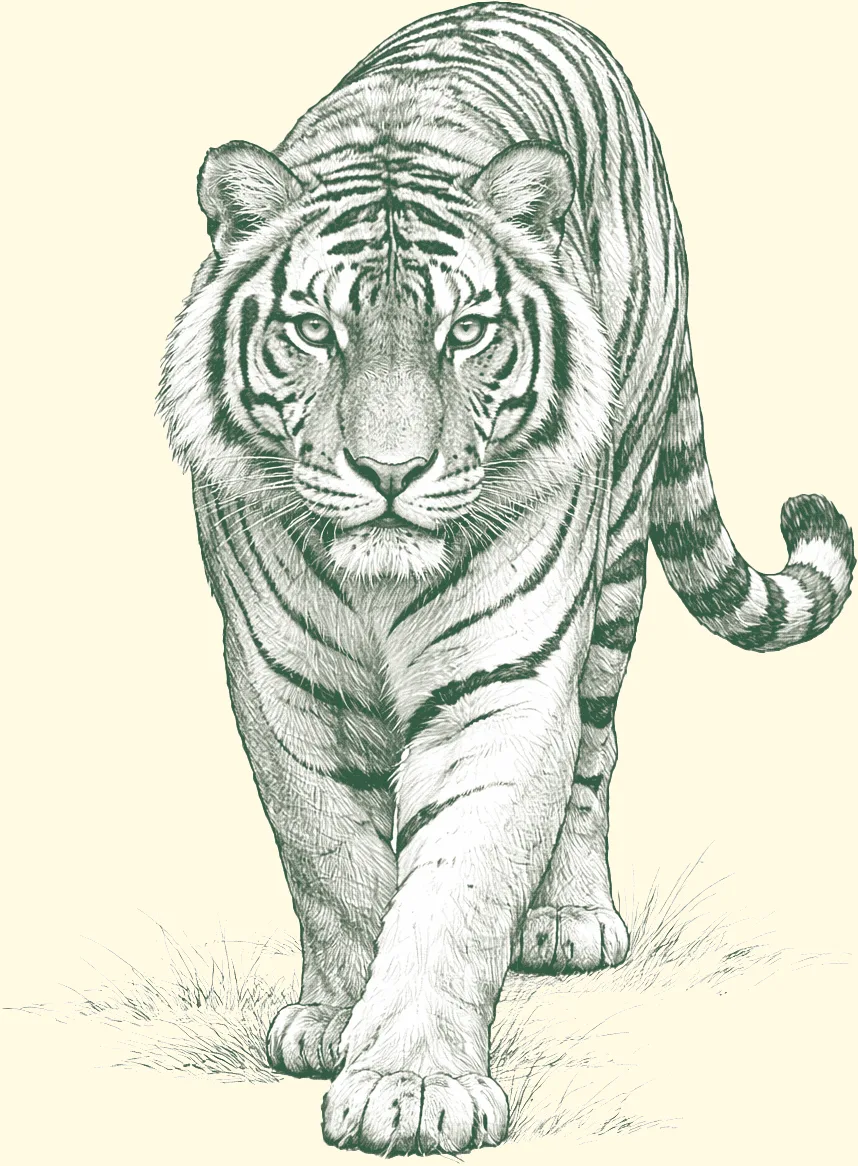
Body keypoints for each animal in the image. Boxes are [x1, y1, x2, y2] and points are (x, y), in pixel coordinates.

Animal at [159, 1, 854, 1155]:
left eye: (467, 331)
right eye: (315, 331)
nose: (390, 471)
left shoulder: (505, 679)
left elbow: (457, 884)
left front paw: (411, 1086)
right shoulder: (281, 679)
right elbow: (333, 858)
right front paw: (336, 1022)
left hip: (615, 571)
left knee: (595, 754)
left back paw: (569, 919)